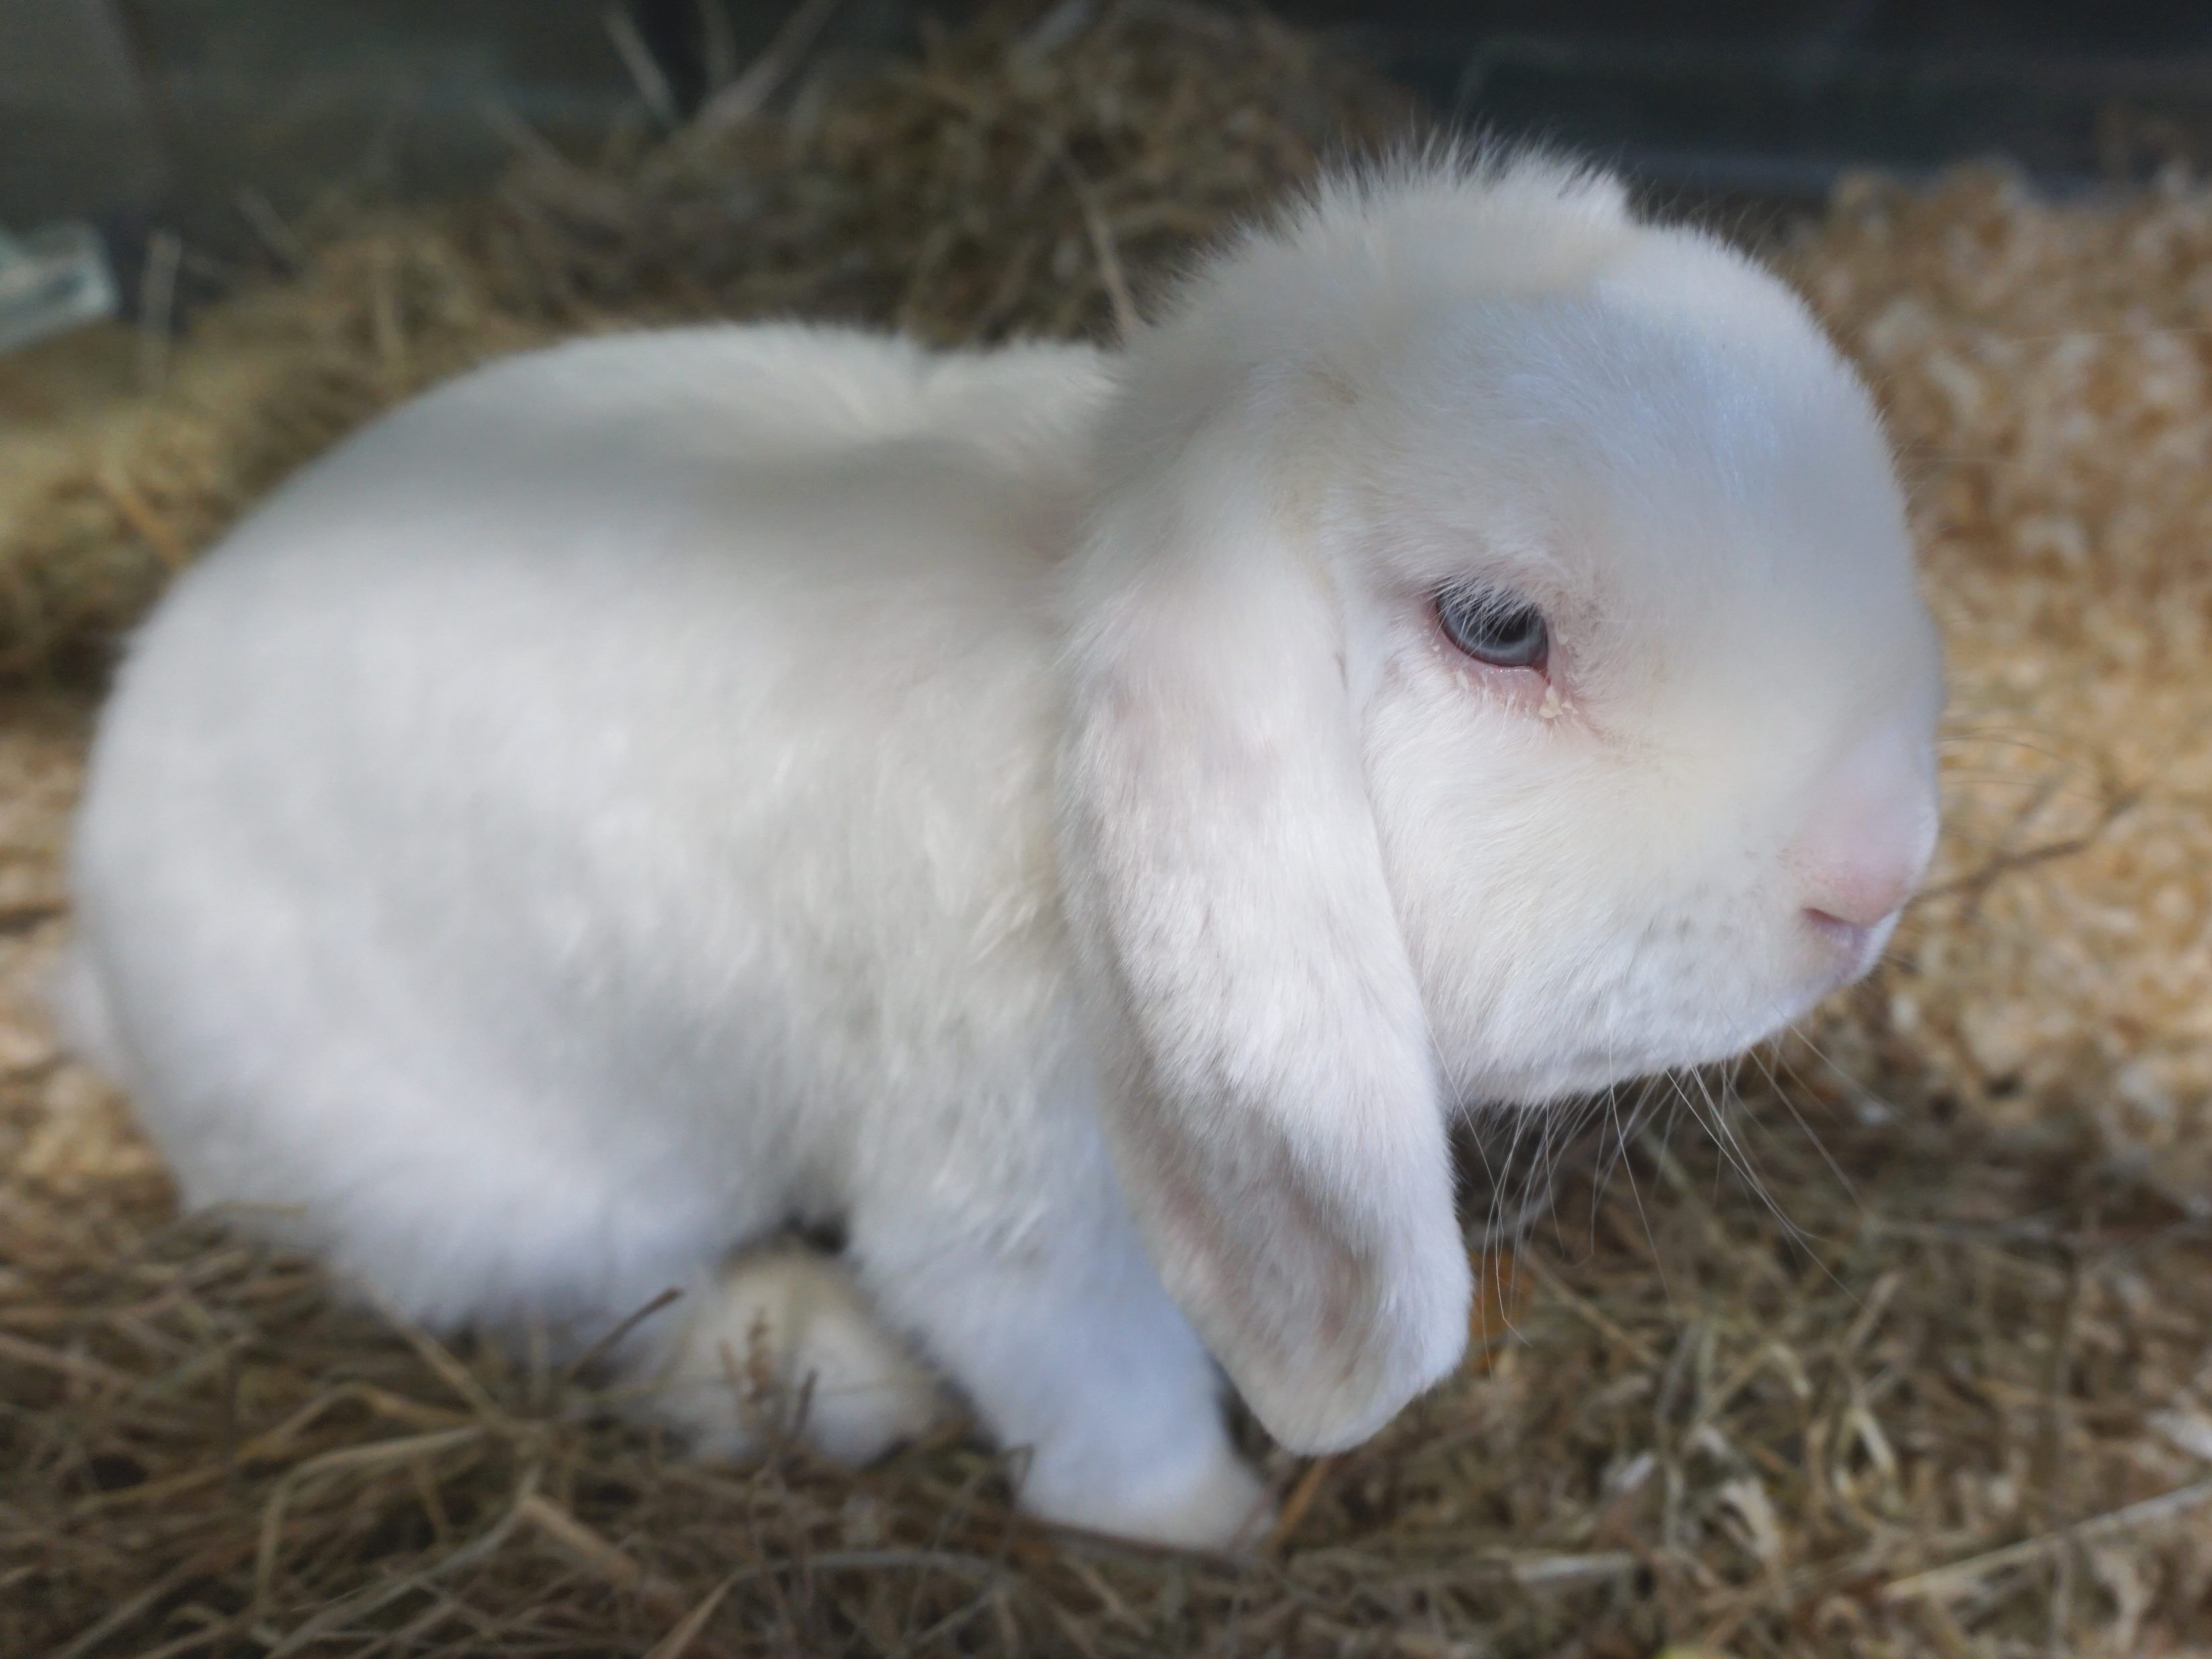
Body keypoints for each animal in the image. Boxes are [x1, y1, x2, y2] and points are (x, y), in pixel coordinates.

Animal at [65, 149, 1937, 1557]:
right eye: (1496, 626)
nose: (1878, 875)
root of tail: (99, 918)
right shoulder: (1009, 1207)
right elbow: (1088, 1381)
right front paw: (1205, 1527)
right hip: (505, 1183)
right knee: (586, 1299)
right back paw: (827, 1373)